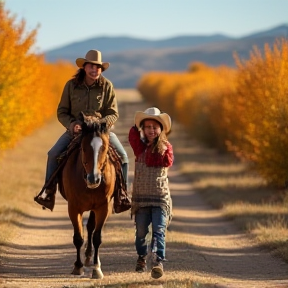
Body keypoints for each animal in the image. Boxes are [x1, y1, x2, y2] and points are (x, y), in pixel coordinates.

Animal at [58, 112, 116, 280]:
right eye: (83, 148)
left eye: (104, 148)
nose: (93, 179)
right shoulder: (73, 208)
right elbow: (78, 237)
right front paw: (78, 267)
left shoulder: (103, 208)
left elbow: (97, 237)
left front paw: (97, 269)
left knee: (91, 227)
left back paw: (91, 258)